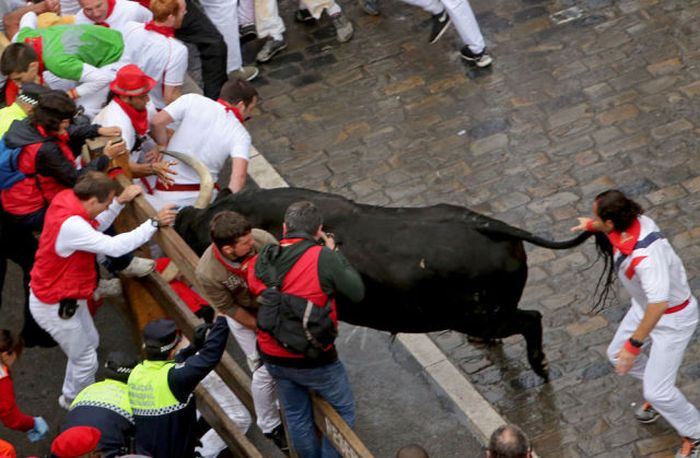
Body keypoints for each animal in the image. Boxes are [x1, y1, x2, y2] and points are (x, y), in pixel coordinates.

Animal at [174, 187, 592, 380]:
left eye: (199, 232)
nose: (180, 216)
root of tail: (487, 224)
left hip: (485, 314)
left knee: (532, 319)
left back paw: (540, 366)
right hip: (486, 314)